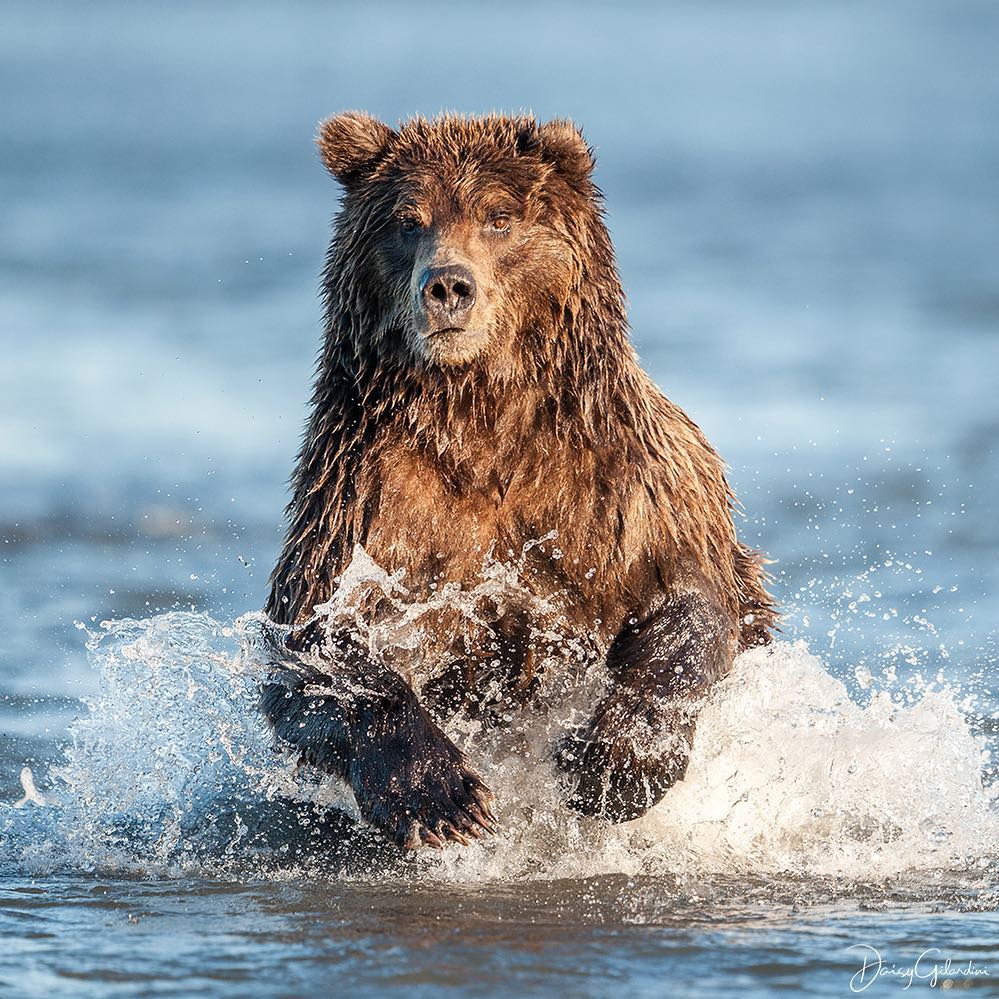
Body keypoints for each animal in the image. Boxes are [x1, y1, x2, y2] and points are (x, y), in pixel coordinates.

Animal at [262, 115, 776, 852]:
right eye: (407, 221)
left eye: (498, 217)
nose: (448, 285)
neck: (479, 412)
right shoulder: (365, 493)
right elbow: (317, 648)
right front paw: (441, 795)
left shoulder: (618, 487)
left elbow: (688, 607)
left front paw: (609, 764)